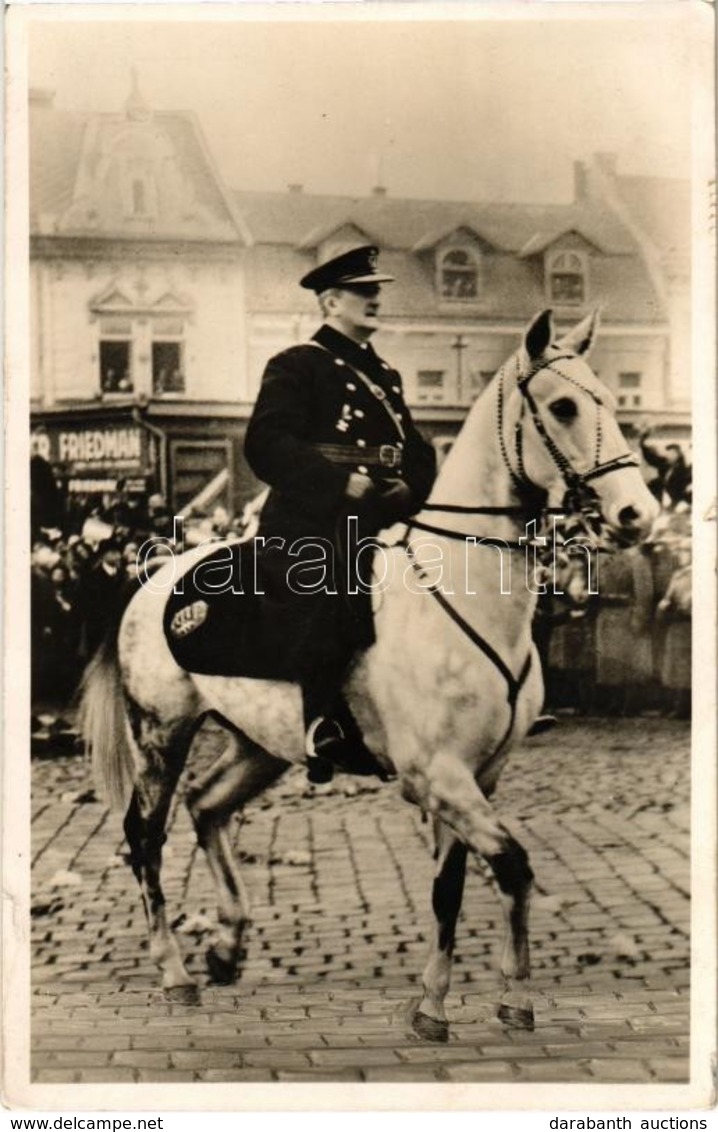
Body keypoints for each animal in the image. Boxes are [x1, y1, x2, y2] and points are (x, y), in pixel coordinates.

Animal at [78, 310, 652, 1041]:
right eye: (564, 406)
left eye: (612, 398)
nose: (638, 514)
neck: (463, 591)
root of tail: (153, 577)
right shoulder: (435, 774)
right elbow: (514, 866)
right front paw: (497, 995)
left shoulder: (478, 775)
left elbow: (452, 888)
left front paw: (453, 1001)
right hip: (161, 733)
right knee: (145, 837)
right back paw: (175, 970)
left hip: (260, 743)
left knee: (206, 805)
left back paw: (228, 945)